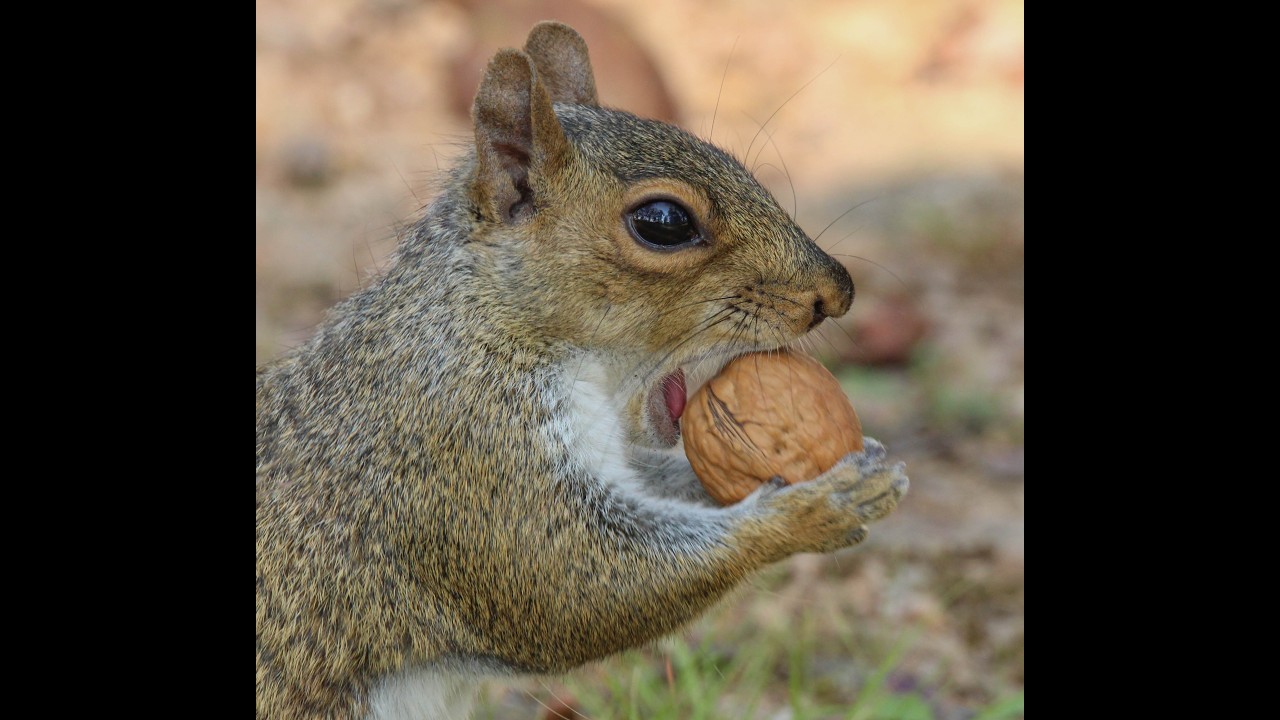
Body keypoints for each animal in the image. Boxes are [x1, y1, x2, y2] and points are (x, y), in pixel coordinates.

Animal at [257, 21, 909, 720]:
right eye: (662, 222)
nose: (835, 293)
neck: (491, 324)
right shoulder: (460, 452)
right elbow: (576, 586)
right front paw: (815, 508)